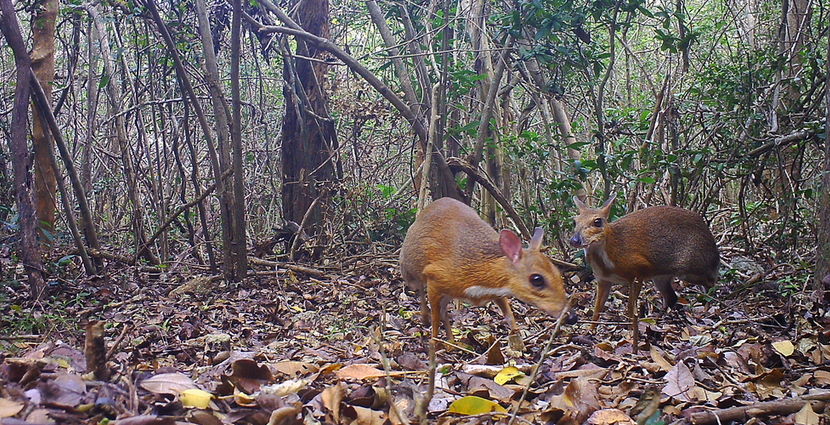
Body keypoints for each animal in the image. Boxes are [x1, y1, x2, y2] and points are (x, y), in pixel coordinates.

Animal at [400, 196, 568, 348]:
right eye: (537, 279)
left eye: (557, 272)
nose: (570, 316)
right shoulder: (434, 276)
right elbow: (435, 319)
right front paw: (434, 343)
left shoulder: (497, 292)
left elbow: (509, 316)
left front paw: (519, 341)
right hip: (409, 270)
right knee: (420, 290)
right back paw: (426, 319)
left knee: (443, 310)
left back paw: (452, 342)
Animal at [572, 194, 720, 342]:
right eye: (575, 221)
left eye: (597, 221)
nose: (574, 240)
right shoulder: (603, 280)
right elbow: (597, 309)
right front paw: (590, 330)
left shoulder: (639, 270)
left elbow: (630, 307)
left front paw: (630, 330)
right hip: (661, 277)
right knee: (672, 297)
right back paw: (657, 319)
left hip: (693, 269)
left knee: (712, 284)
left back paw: (707, 310)